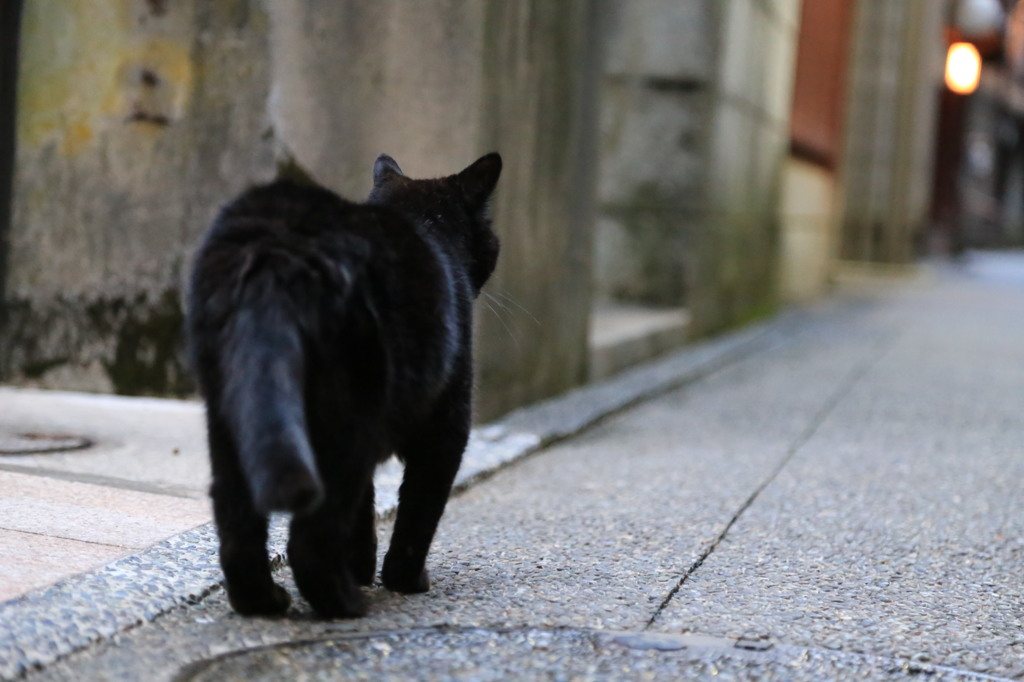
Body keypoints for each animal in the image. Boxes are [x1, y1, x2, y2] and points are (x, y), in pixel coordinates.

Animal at [187, 152, 503, 614]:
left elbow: (363, 512)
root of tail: (280, 247)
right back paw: (345, 604)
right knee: (310, 539)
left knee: (237, 525)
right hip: (347, 420)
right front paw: (402, 580)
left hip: (232, 417)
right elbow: (418, 510)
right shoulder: (447, 425)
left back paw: (265, 602)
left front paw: (359, 568)